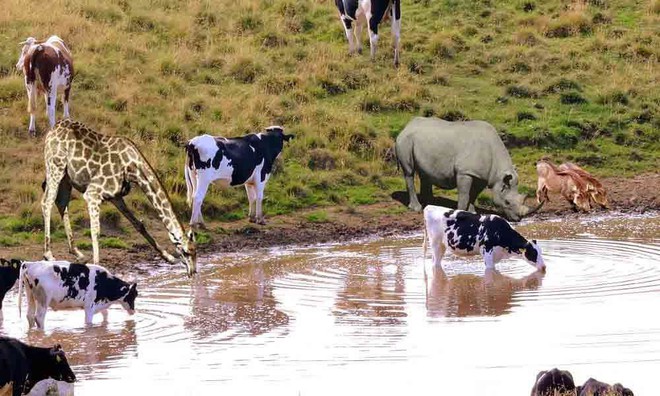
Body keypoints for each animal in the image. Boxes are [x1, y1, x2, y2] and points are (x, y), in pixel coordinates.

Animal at [40, 119, 196, 276]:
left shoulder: (115, 197)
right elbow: (95, 231)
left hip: (66, 177)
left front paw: (169, 257)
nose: (193, 272)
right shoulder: (92, 193)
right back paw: (49, 254)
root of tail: (53, 128)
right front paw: (97, 266)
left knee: (61, 203)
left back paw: (77, 253)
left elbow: (139, 225)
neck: (132, 168)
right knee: (47, 202)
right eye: (185, 252)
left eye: (195, 251)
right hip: (55, 167)